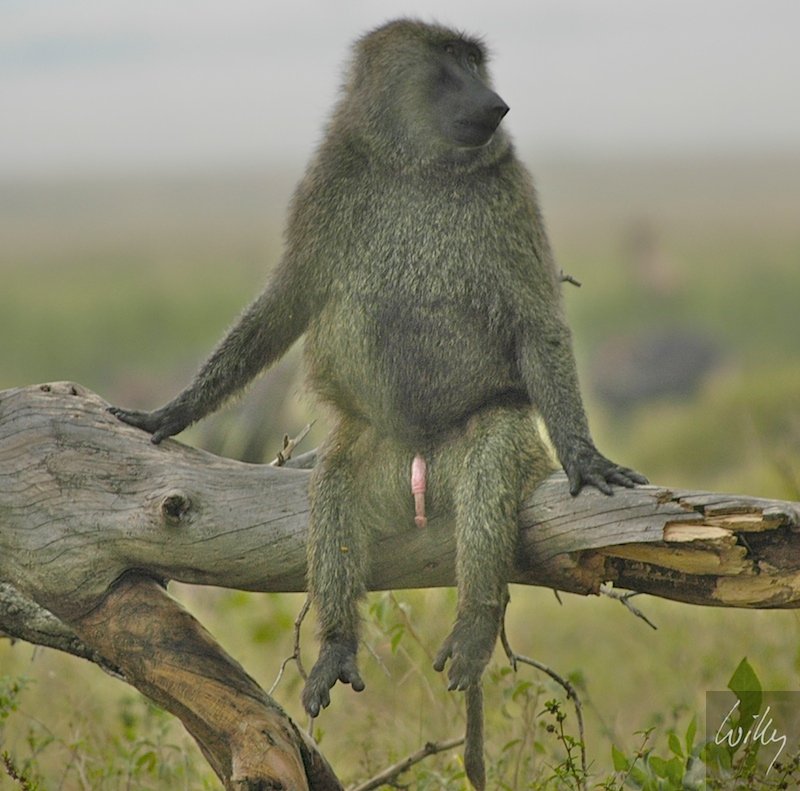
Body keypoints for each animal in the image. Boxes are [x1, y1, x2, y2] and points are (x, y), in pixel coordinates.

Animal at [110, 19, 647, 789]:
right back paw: (336, 644)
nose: (496, 104)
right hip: (374, 449)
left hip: (489, 435)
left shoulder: (508, 190)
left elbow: (535, 318)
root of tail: (420, 458)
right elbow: (287, 299)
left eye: (474, 62)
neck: (416, 165)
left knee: (488, 474)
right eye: (449, 62)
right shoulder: (329, 179)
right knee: (335, 490)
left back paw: (475, 624)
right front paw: (170, 413)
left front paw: (586, 455)